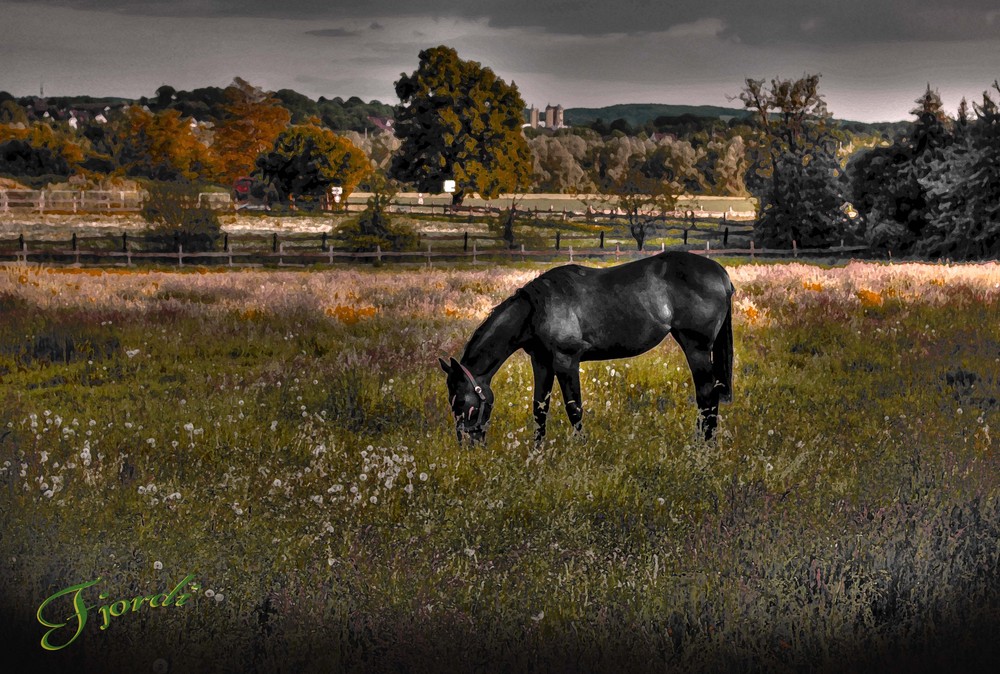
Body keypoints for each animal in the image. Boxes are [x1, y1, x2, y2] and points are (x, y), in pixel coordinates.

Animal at [440, 249, 736, 444]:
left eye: (462, 401)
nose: (467, 444)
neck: (537, 309)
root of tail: (720, 274)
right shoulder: (541, 362)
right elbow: (539, 409)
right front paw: (537, 453)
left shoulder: (566, 361)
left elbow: (574, 408)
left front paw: (580, 452)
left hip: (696, 348)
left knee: (707, 396)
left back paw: (702, 448)